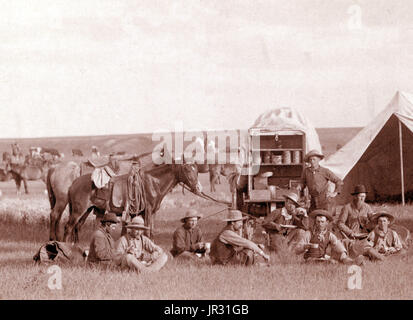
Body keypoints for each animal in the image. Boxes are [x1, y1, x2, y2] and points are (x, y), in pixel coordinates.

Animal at [62, 159, 201, 244]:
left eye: (196, 169)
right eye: (187, 169)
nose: (199, 188)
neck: (153, 183)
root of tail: (73, 183)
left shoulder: (152, 213)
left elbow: (151, 231)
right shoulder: (147, 211)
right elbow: (147, 231)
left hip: (87, 210)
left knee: (77, 227)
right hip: (78, 211)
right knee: (69, 227)